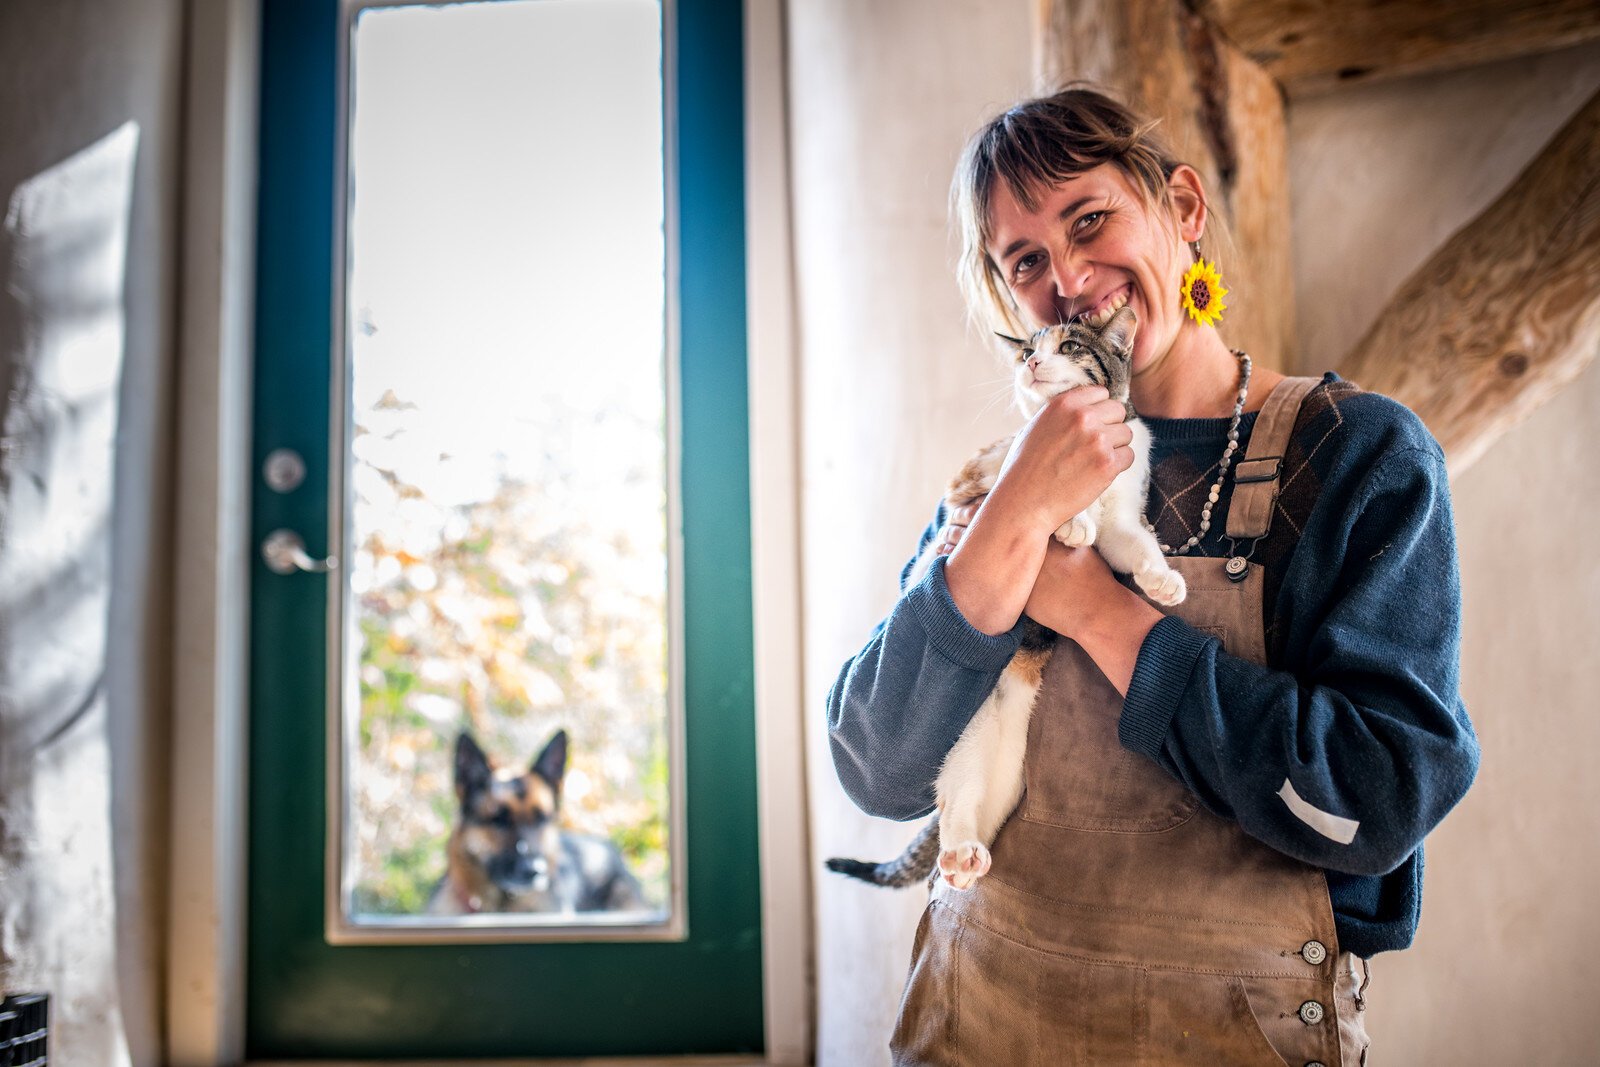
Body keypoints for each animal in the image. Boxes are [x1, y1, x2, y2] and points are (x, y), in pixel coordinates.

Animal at [825, 302, 1190, 895]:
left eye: (1070, 346)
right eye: (1027, 352)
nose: (1034, 362)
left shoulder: (1124, 512)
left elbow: (1133, 543)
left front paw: (1162, 578)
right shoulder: (996, 473)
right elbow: (1050, 502)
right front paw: (1071, 520)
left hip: (1002, 763)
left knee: (981, 799)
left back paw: (967, 858)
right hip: (960, 741)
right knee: (954, 798)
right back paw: (958, 852)